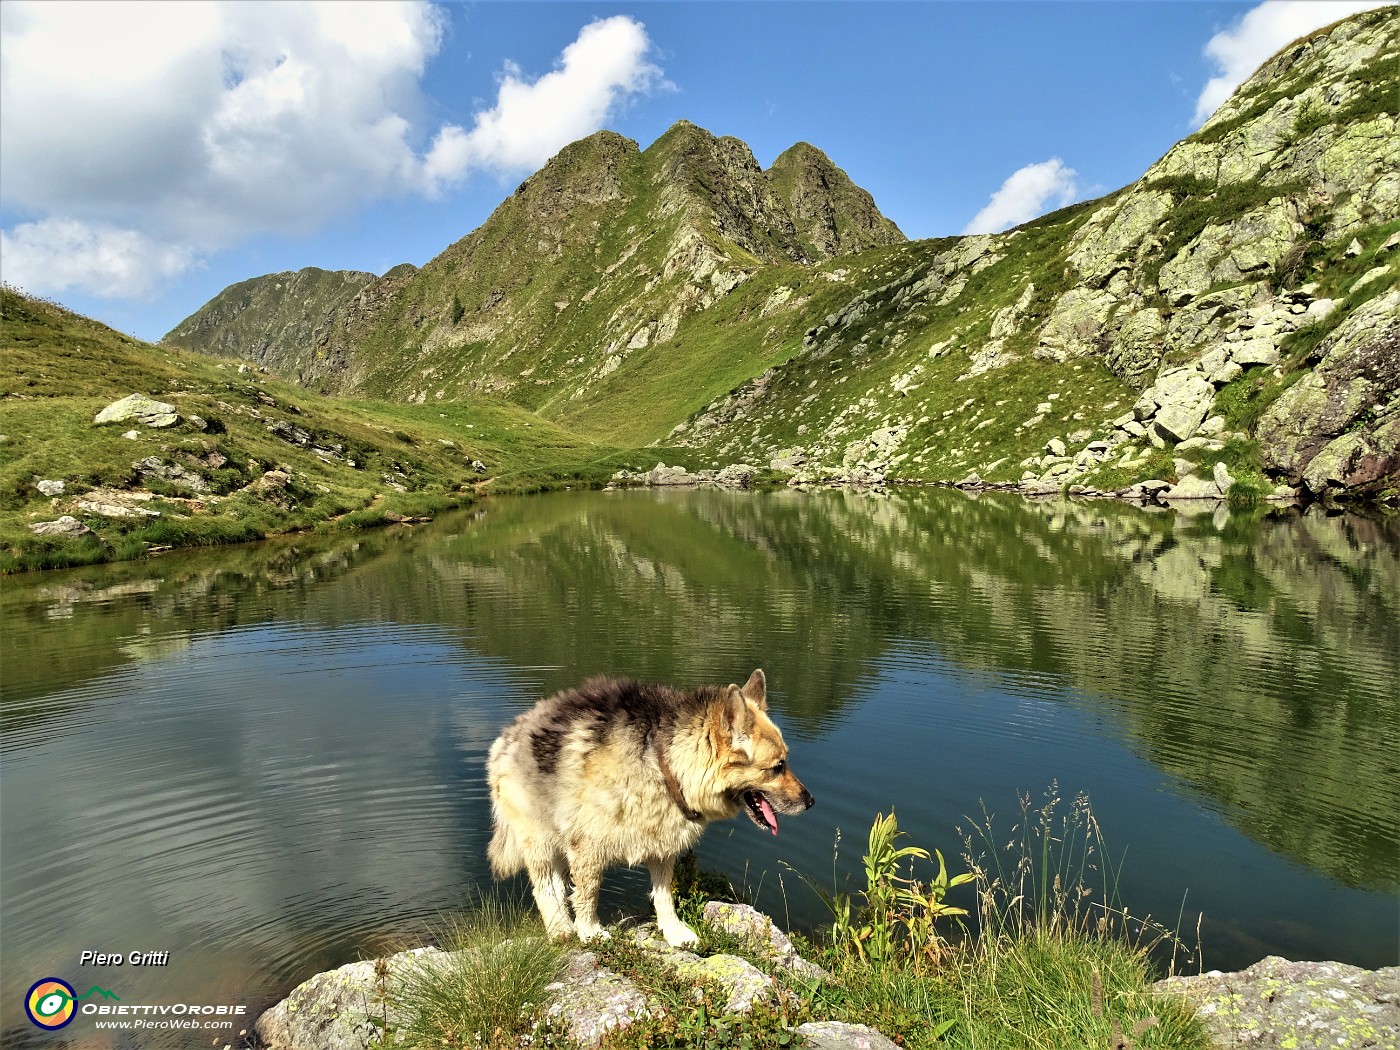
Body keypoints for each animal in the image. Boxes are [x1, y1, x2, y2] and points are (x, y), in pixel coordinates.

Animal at [487, 669, 817, 952]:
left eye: (785, 762)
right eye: (777, 767)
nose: (811, 802)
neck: (665, 764)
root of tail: (507, 736)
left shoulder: (662, 846)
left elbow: (664, 896)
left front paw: (674, 932)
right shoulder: (587, 848)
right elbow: (588, 893)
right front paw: (590, 931)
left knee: (554, 883)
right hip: (537, 839)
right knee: (543, 887)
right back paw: (560, 928)